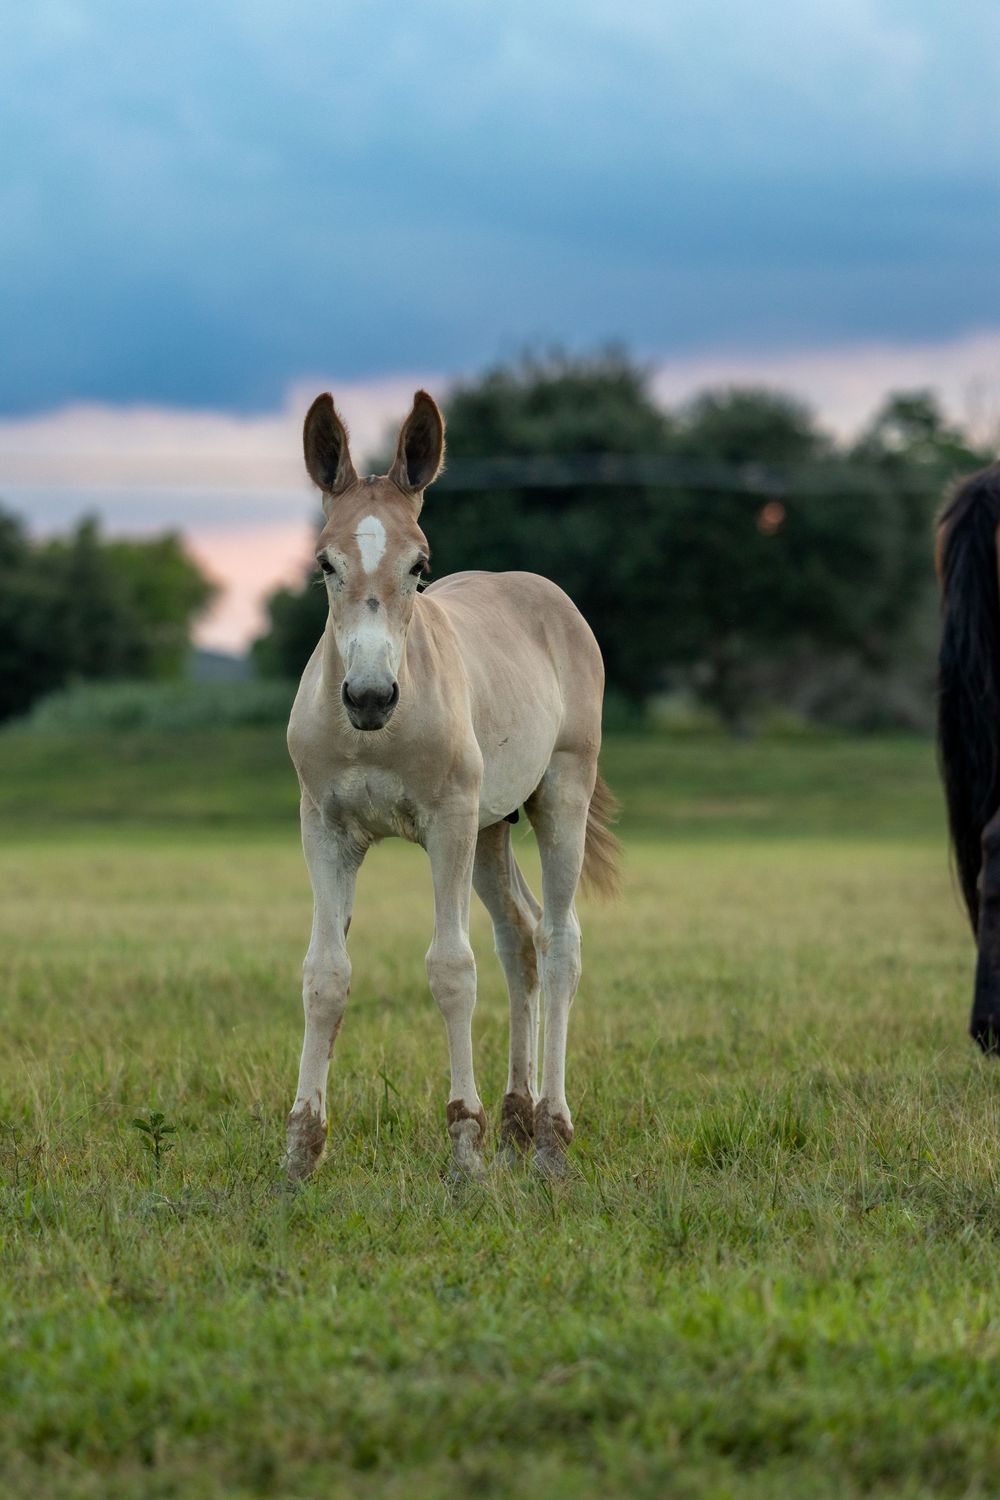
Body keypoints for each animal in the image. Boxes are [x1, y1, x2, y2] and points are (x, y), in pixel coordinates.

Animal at [283, 390, 621, 1179]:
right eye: (326, 563)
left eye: (420, 565)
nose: (369, 696)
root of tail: (548, 596)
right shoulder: (325, 829)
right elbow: (325, 974)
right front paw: (299, 1153)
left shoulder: (448, 824)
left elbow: (450, 968)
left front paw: (463, 1150)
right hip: (495, 827)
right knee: (520, 937)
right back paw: (517, 1120)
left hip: (555, 795)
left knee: (559, 942)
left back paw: (551, 1137)